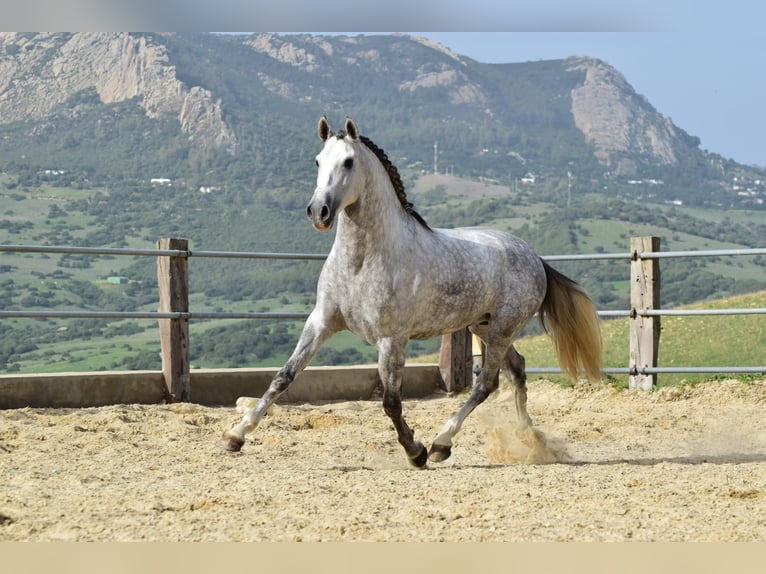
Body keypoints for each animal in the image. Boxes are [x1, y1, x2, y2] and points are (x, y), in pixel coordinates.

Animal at [219, 116, 603, 468]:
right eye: (317, 161)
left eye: (349, 162)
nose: (318, 212)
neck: (361, 262)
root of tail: (534, 256)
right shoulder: (321, 322)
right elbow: (284, 377)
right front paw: (236, 436)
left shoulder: (392, 339)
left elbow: (391, 401)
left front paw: (415, 452)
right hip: (485, 326)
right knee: (517, 370)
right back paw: (528, 437)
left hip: (501, 330)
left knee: (487, 383)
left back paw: (442, 444)